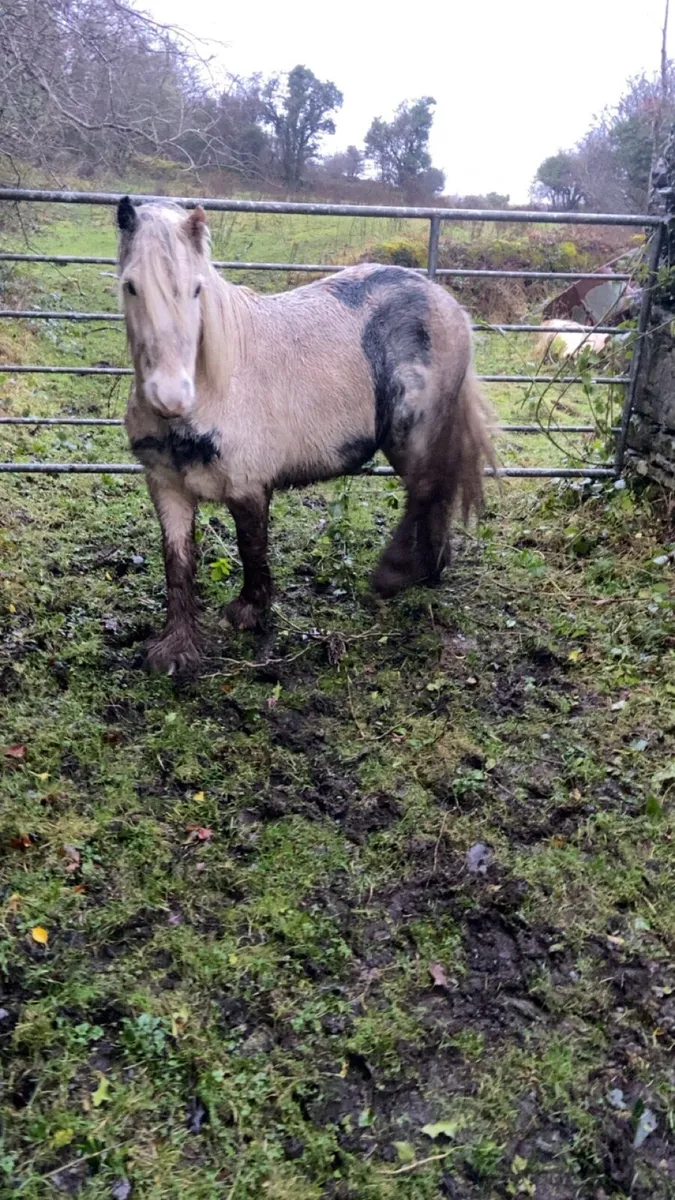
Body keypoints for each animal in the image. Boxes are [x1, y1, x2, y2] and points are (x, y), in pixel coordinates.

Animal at [117, 197, 495, 674]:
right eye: (131, 286)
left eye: (197, 289)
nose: (170, 397)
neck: (214, 386)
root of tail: (447, 303)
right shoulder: (166, 486)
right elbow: (177, 561)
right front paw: (176, 649)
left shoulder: (246, 484)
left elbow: (251, 546)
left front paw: (249, 611)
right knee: (434, 492)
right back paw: (430, 567)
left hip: (415, 430)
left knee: (426, 488)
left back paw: (394, 574)